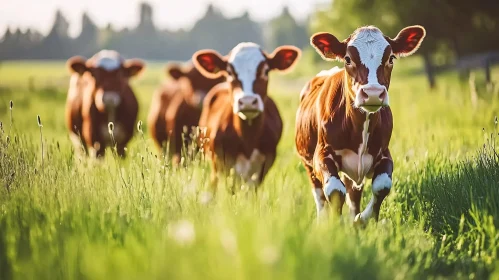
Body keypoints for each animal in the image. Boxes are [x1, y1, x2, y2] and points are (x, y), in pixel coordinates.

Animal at [192, 41, 300, 190]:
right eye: (230, 72)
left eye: (265, 71)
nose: (248, 101)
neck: (248, 138)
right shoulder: (222, 163)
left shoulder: (264, 166)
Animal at [296, 25, 426, 224]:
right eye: (348, 59)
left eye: (391, 58)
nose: (372, 93)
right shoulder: (322, 154)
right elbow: (334, 190)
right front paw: (335, 225)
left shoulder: (383, 153)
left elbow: (382, 185)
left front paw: (362, 220)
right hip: (307, 163)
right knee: (319, 194)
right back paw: (322, 220)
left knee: (353, 192)